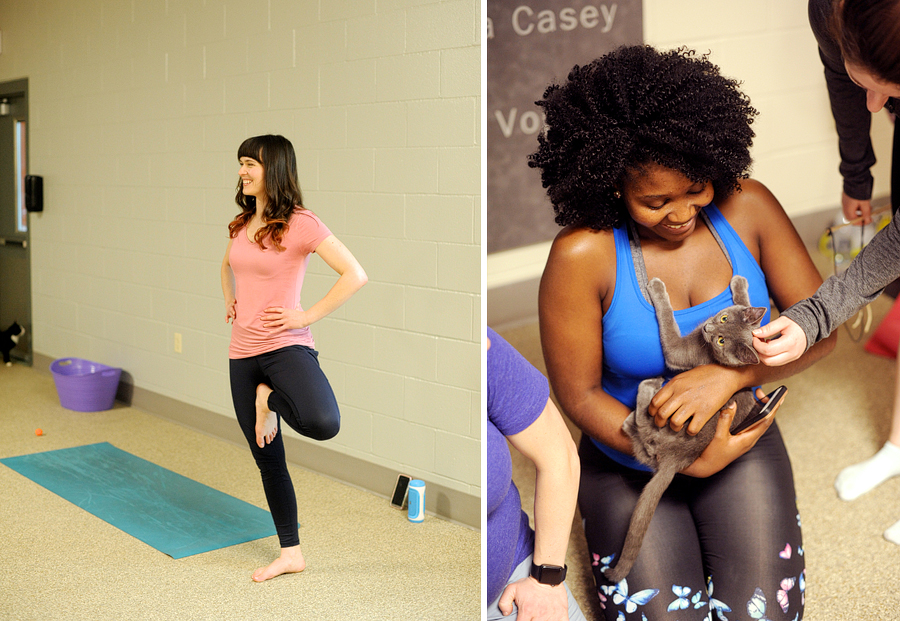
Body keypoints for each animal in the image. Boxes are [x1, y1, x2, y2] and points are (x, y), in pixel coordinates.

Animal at [604, 274, 768, 580]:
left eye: (720, 340)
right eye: (723, 318)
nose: (707, 327)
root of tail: (676, 460)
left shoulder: (680, 352)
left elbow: (668, 322)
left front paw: (657, 289)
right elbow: (748, 308)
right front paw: (740, 287)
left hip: (665, 425)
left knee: (644, 429)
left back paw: (648, 387)